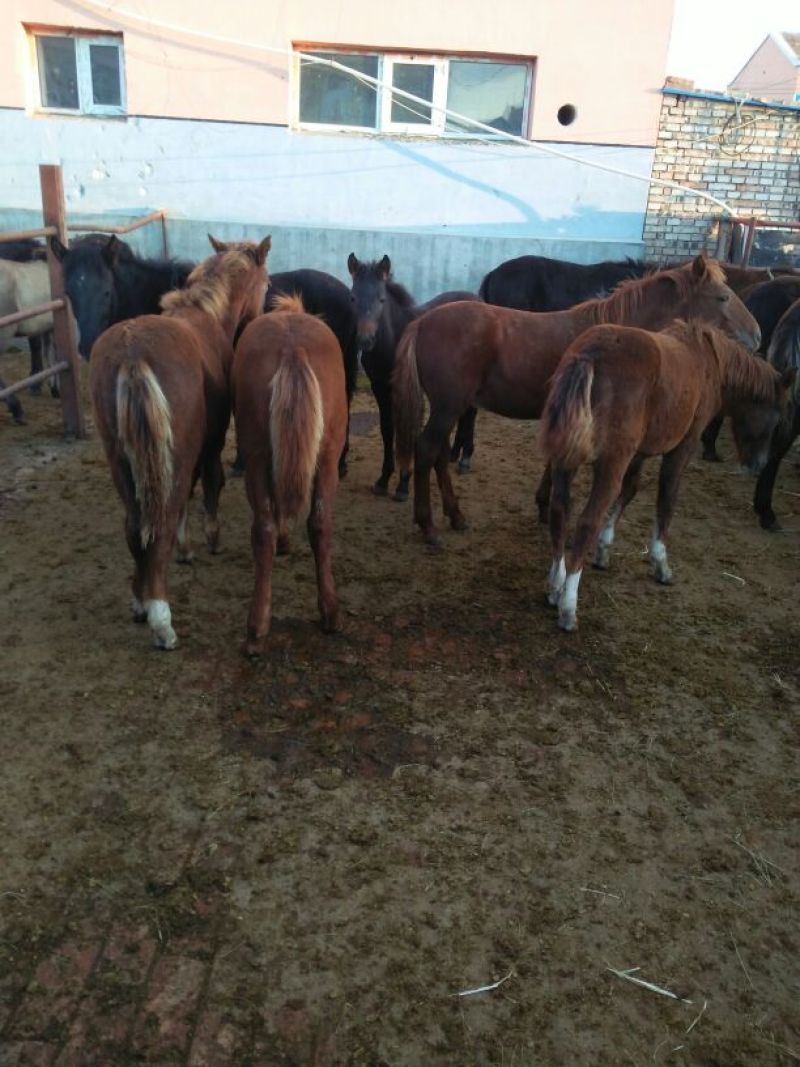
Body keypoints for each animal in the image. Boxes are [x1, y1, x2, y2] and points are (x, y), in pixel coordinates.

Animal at [90, 235, 271, 650]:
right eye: (267, 283)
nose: (257, 317)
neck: (207, 316)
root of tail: (133, 352)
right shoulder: (210, 441)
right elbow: (208, 484)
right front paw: (203, 542)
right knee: (164, 520)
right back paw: (161, 619)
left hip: (122, 462)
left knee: (135, 524)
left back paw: (140, 601)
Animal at [232, 294, 347, 657]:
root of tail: (291, 346)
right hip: (326, 459)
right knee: (320, 523)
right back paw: (330, 613)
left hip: (256, 457)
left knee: (265, 527)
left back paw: (257, 628)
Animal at [347, 253, 480, 497]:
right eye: (352, 298)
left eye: (381, 299)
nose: (365, 341)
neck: (395, 340)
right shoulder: (380, 387)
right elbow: (387, 429)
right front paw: (383, 480)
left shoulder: (411, 390)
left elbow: (410, 426)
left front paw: (403, 484)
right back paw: (454, 454)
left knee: (471, 413)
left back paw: (465, 458)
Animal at [541, 321, 794, 632]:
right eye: (778, 417)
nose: (758, 465)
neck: (708, 361)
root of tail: (590, 355)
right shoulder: (684, 445)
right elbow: (667, 500)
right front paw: (660, 563)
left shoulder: (638, 452)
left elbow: (630, 491)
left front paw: (604, 550)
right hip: (610, 462)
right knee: (587, 521)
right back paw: (568, 606)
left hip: (566, 460)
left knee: (559, 512)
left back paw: (555, 586)